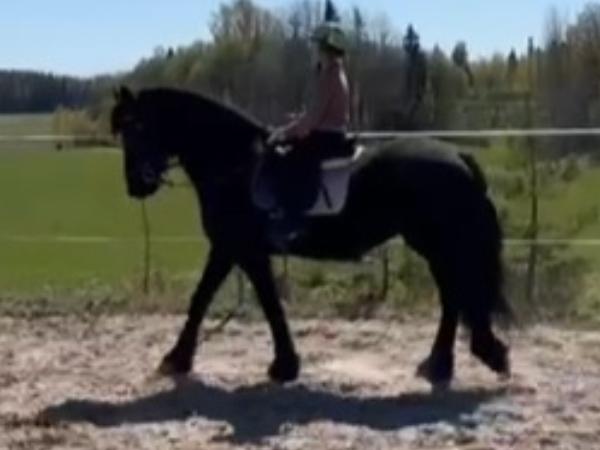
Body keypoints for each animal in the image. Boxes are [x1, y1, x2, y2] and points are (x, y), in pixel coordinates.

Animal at [111, 86, 511, 389]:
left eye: (138, 127)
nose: (135, 184)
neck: (235, 164)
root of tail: (457, 153)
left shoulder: (237, 248)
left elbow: (241, 302)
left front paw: (180, 359)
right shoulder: (235, 250)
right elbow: (223, 300)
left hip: (438, 244)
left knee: (454, 295)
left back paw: (459, 360)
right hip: (434, 245)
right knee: (453, 296)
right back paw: (445, 363)